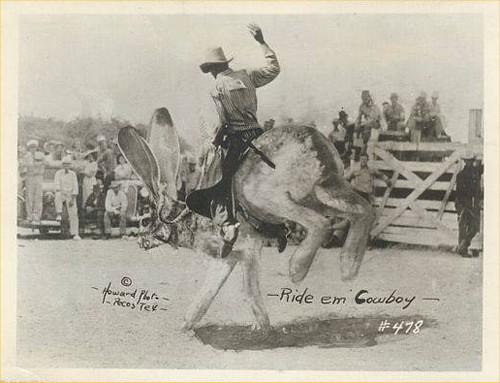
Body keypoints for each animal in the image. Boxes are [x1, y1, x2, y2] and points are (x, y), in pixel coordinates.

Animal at [118, 108, 376, 332]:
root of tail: (315, 146)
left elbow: (250, 291)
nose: (141, 241)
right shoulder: (228, 259)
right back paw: (349, 268)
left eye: (148, 222)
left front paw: (264, 328)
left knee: (320, 223)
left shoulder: (245, 252)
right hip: (325, 192)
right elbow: (207, 295)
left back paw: (297, 270)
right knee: (364, 211)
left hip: (273, 197)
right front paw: (185, 327)